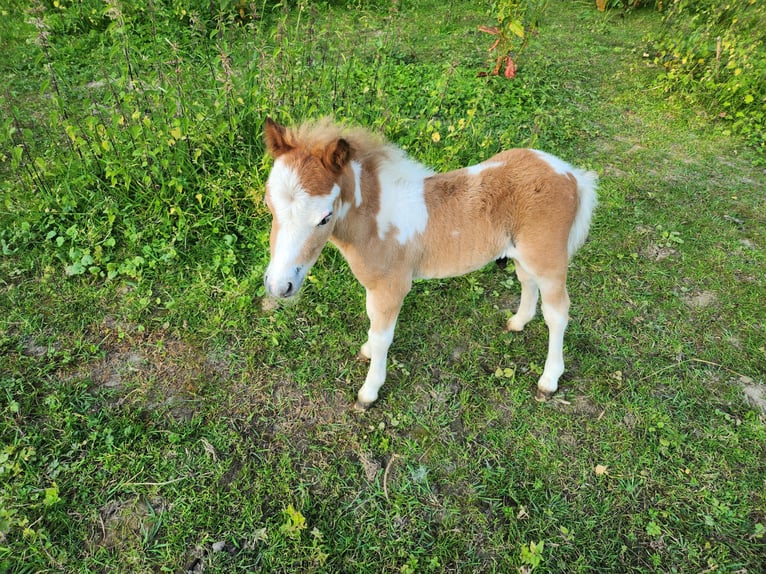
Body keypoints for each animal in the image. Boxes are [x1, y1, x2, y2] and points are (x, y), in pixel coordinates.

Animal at [264, 119, 600, 412]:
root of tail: (571, 174)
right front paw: (366, 351)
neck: (375, 222)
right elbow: (374, 325)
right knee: (527, 282)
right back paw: (517, 322)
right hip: (521, 254)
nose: (279, 286)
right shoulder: (375, 289)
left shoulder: (391, 287)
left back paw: (548, 381)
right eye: (269, 205)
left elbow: (383, 336)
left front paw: (369, 392)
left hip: (548, 260)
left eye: (325, 217)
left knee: (557, 313)